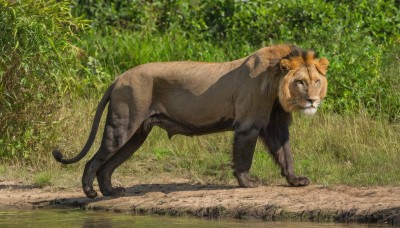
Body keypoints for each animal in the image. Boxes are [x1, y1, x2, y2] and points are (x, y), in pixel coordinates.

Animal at [52, 44, 328, 198]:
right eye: (300, 82)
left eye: (316, 81)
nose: (312, 100)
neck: (275, 84)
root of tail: (118, 77)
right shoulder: (247, 125)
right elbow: (244, 158)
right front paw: (247, 183)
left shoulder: (276, 125)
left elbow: (286, 154)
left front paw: (295, 180)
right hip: (123, 127)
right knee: (93, 161)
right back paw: (90, 193)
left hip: (136, 135)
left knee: (107, 167)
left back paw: (111, 192)